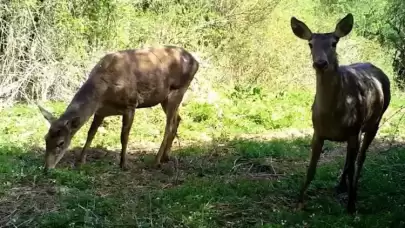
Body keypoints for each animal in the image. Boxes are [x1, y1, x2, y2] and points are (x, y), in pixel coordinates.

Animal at [38, 45, 199, 172]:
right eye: (45, 138)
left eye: (61, 143)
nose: (47, 168)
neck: (104, 92)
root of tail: (196, 62)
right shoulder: (100, 111)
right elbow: (91, 133)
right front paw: (80, 161)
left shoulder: (131, 105)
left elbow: (124, 136)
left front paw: (123, 164)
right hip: (165, 98)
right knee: (178, 119)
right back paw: (166, 156)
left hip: (178, 90)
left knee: (168, 126)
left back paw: (157, 160)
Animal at [290, 13, 388, 214]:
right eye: (310, 43)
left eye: (334, 43)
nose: (320, 63)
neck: (333, 115)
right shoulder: (318, 132)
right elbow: (311, 168)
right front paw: (299, 202)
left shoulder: (354, 130)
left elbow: (352, 166)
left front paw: (351, 206)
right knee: (350, 160)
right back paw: (341, 186)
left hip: (374, 122)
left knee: (360, 159)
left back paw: (352, 190)